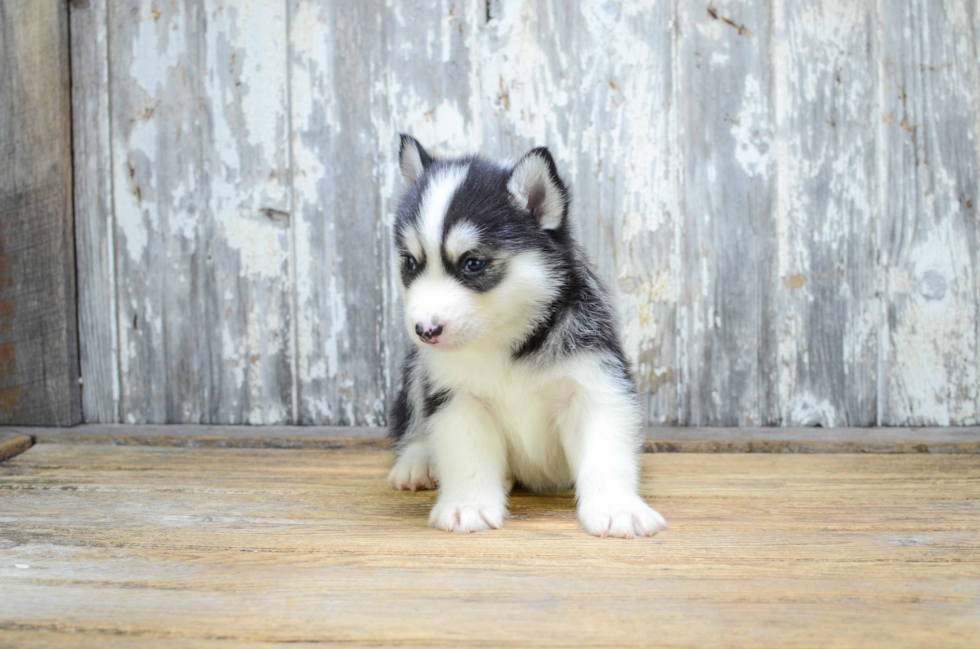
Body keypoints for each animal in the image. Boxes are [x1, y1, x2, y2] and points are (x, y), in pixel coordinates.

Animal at [386, 135, 668, 536]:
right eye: (410, 263)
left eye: (473, 263)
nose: (425, 331)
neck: (506, 340)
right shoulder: (457, 398)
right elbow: (466, 457)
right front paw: (468, 504)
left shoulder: (596, 384)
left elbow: (606, 454)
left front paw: (617, 508)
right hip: (416, 370)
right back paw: (417, 461)